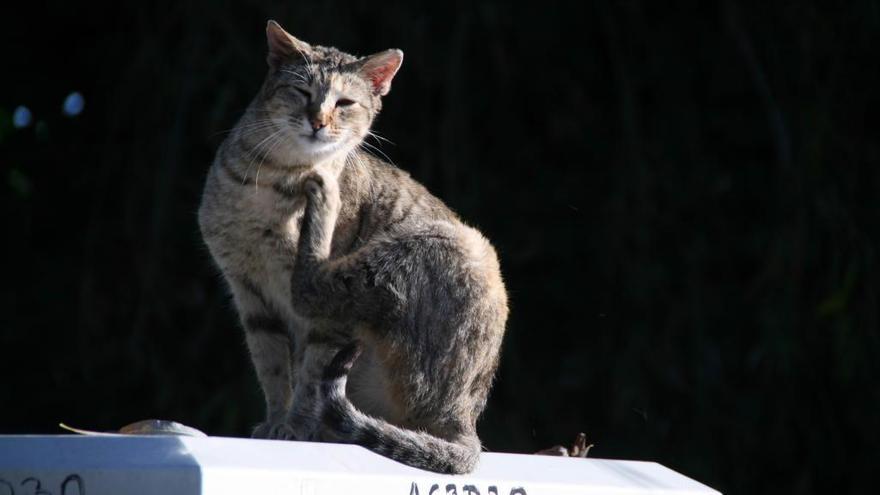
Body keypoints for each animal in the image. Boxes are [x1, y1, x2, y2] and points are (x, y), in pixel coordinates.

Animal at [196, 20, 506, 476]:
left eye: (344, 103)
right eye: (302, 92)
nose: (318, 122)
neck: (273, 180)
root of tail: (465, 424)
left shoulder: (325, 327)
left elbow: (310, 377)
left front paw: (295, 427)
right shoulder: (249, 294)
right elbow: (273, 369)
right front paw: (276, 423)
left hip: (439, 247)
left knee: (309, 286)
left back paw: (323, 196)